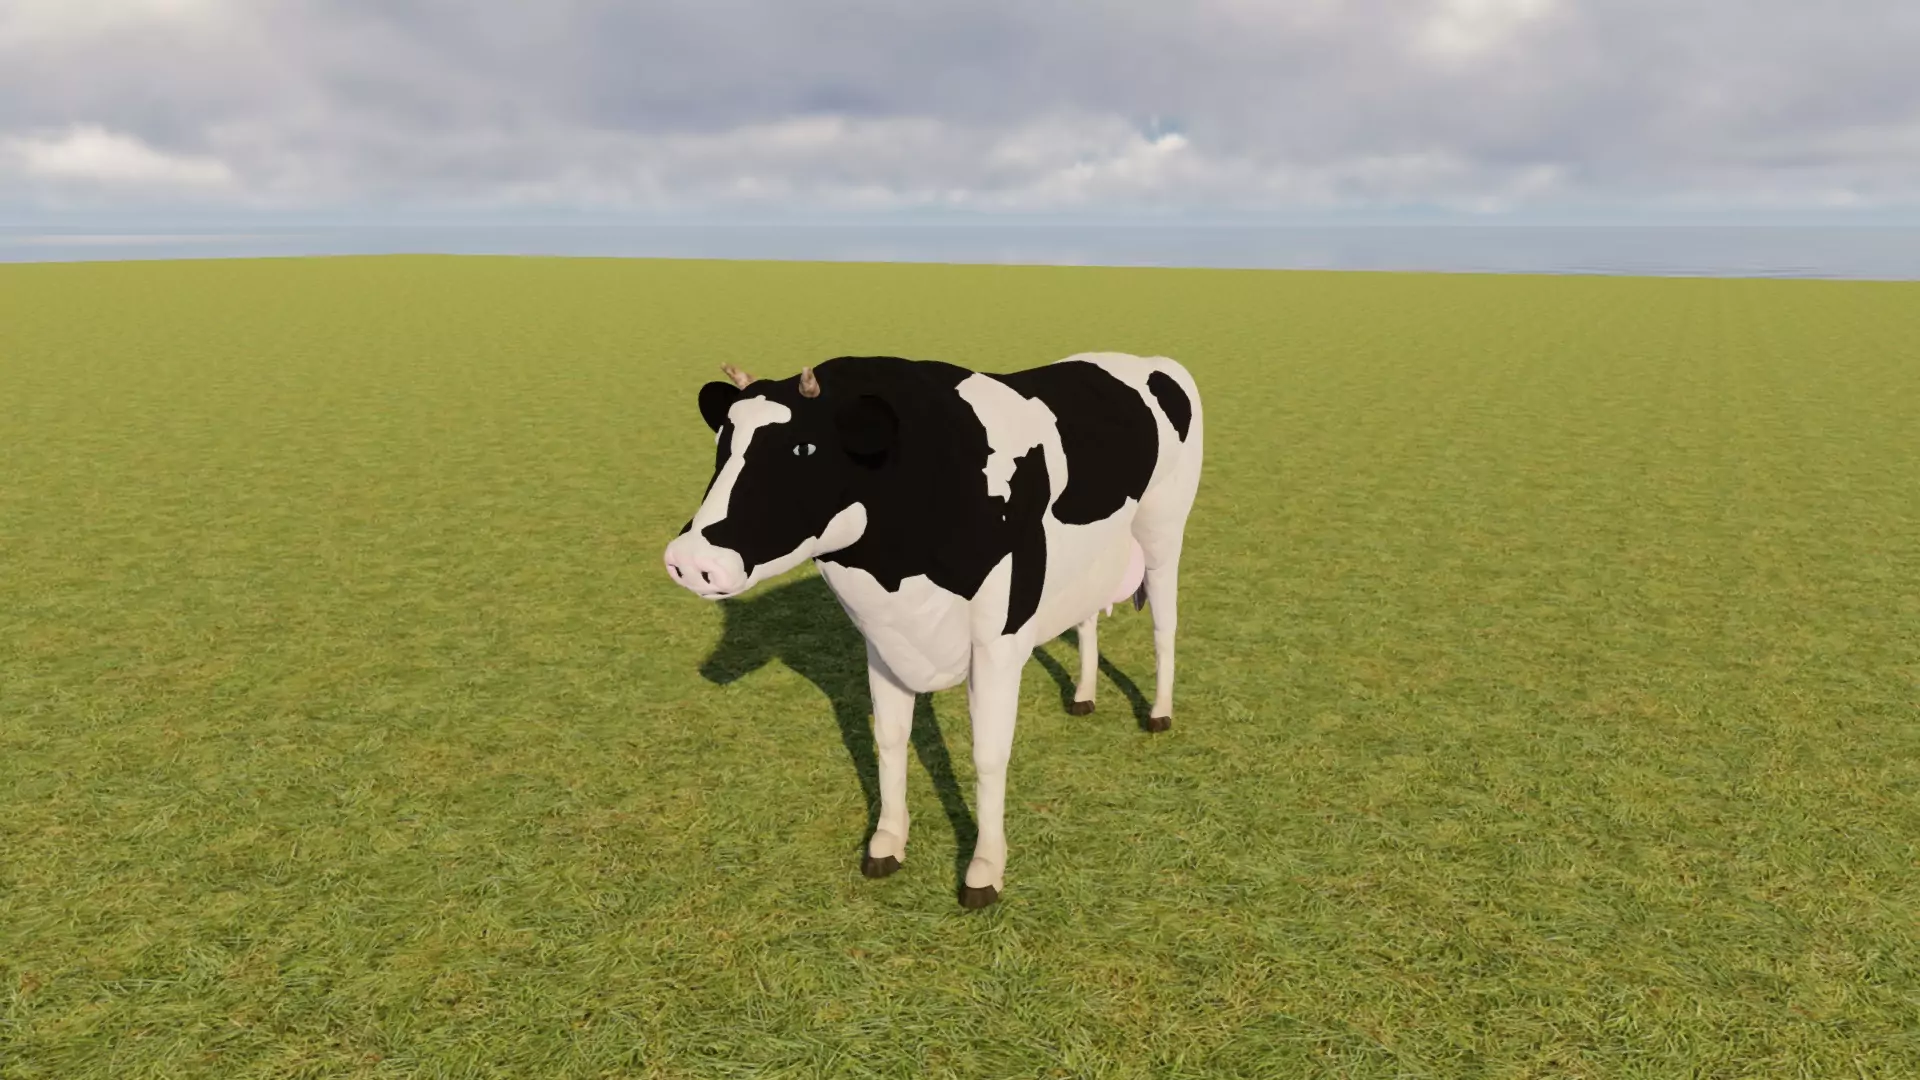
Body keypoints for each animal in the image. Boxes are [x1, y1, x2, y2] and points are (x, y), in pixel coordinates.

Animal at [663, 353, 1204, 908]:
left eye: (804, 447)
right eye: (722, 444)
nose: (690, 560)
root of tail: (1149, 361)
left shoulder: (997, 639)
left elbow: (988, 754)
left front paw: (985, 869)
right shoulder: (882, 638)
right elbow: (890, 738)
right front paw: (886, 842)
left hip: (1163, 535)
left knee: (1165, 625)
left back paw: (1159, 713)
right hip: (1089, 561)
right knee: (1088, 617)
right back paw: (1083, 696)